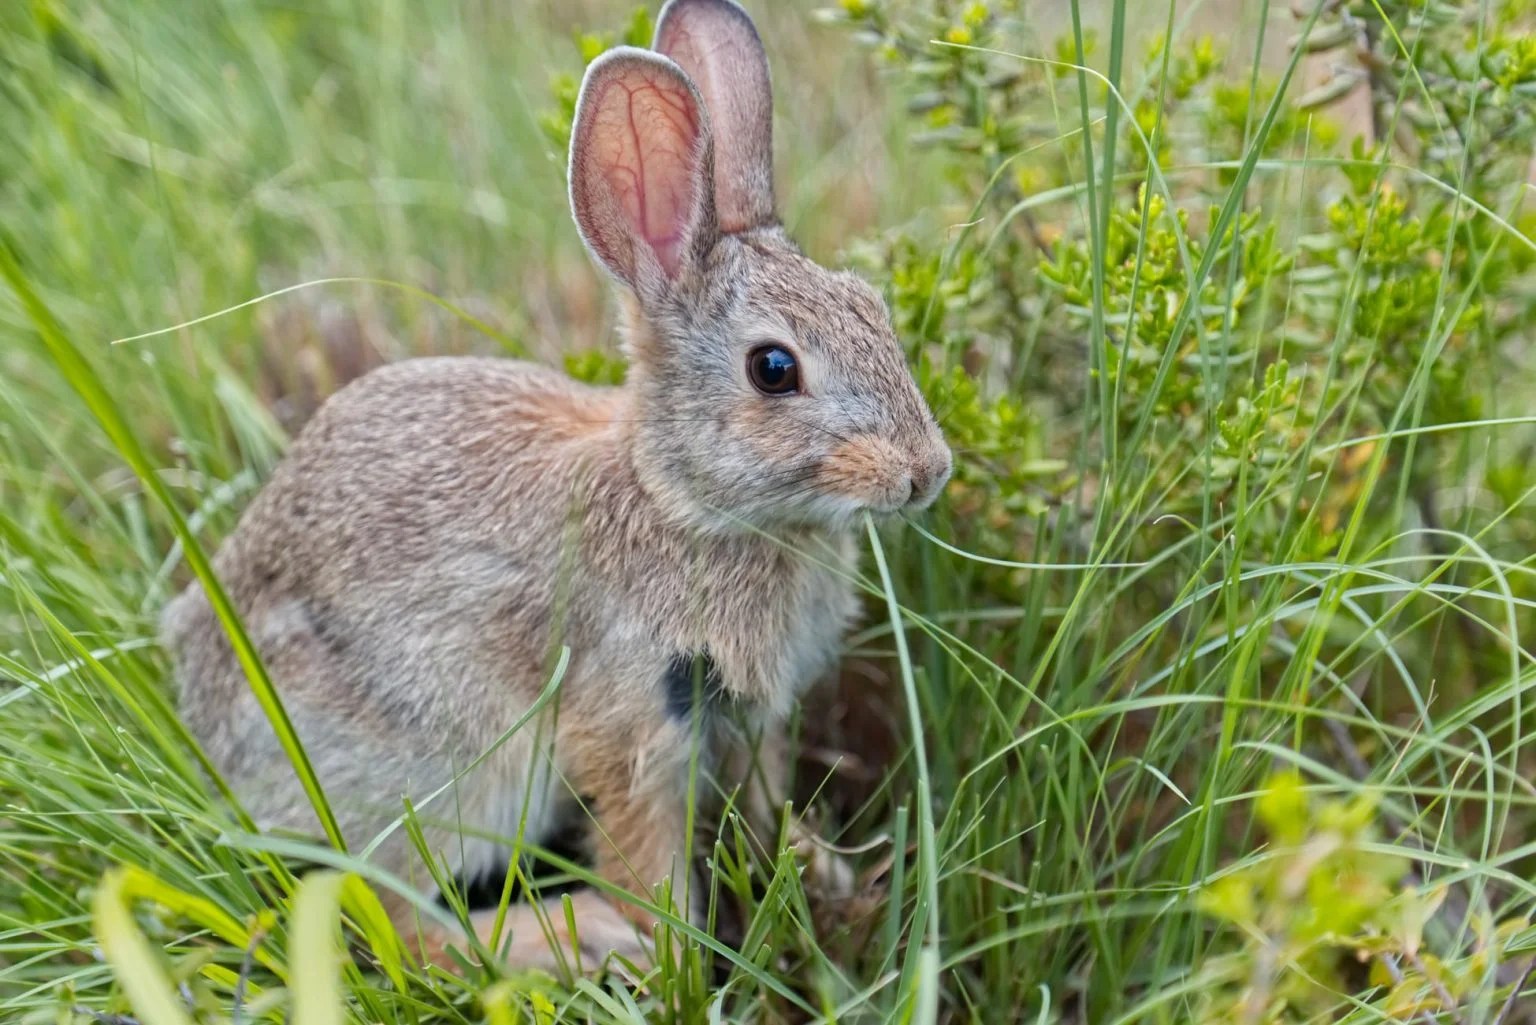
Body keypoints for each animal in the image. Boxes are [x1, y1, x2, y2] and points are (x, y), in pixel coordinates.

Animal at [160, 0, 951, 974]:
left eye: (872, 306)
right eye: (774, 369)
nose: (925, 471)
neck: (681, 502)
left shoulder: (749, 722)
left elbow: (766, 808)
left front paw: (828, 876)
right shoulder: (634, 721)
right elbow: (646, 853)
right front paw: (672, 955)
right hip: (442, 769)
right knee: (389, 916)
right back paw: (569, 938)